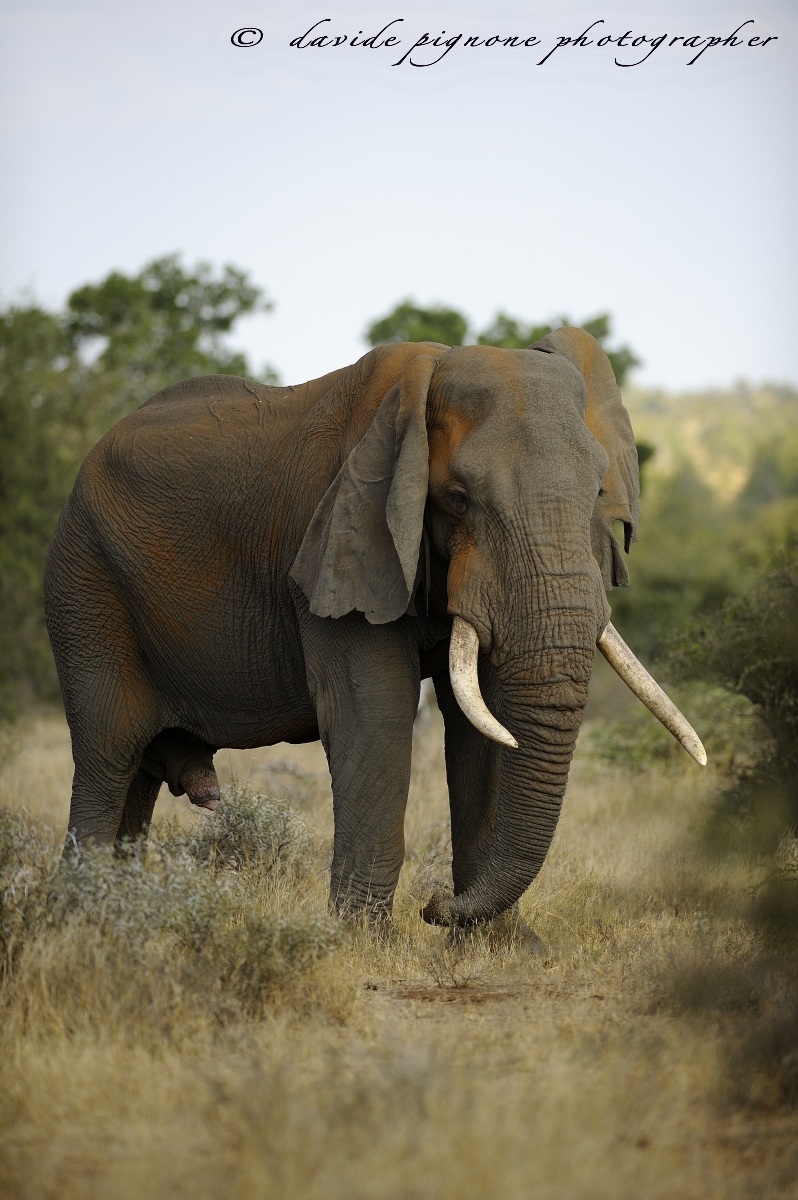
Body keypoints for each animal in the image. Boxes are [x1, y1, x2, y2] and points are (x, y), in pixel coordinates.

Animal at [44, 327, 705, 928]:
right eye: (458, 497)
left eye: (598, 492)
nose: (433, 908)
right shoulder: (341, 539)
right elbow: (375, 711)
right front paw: (359, 941)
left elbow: (485, 721)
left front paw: (502, 946)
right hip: (85, 586)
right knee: (107, 755)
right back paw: (81, 919)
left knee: (136, 775)